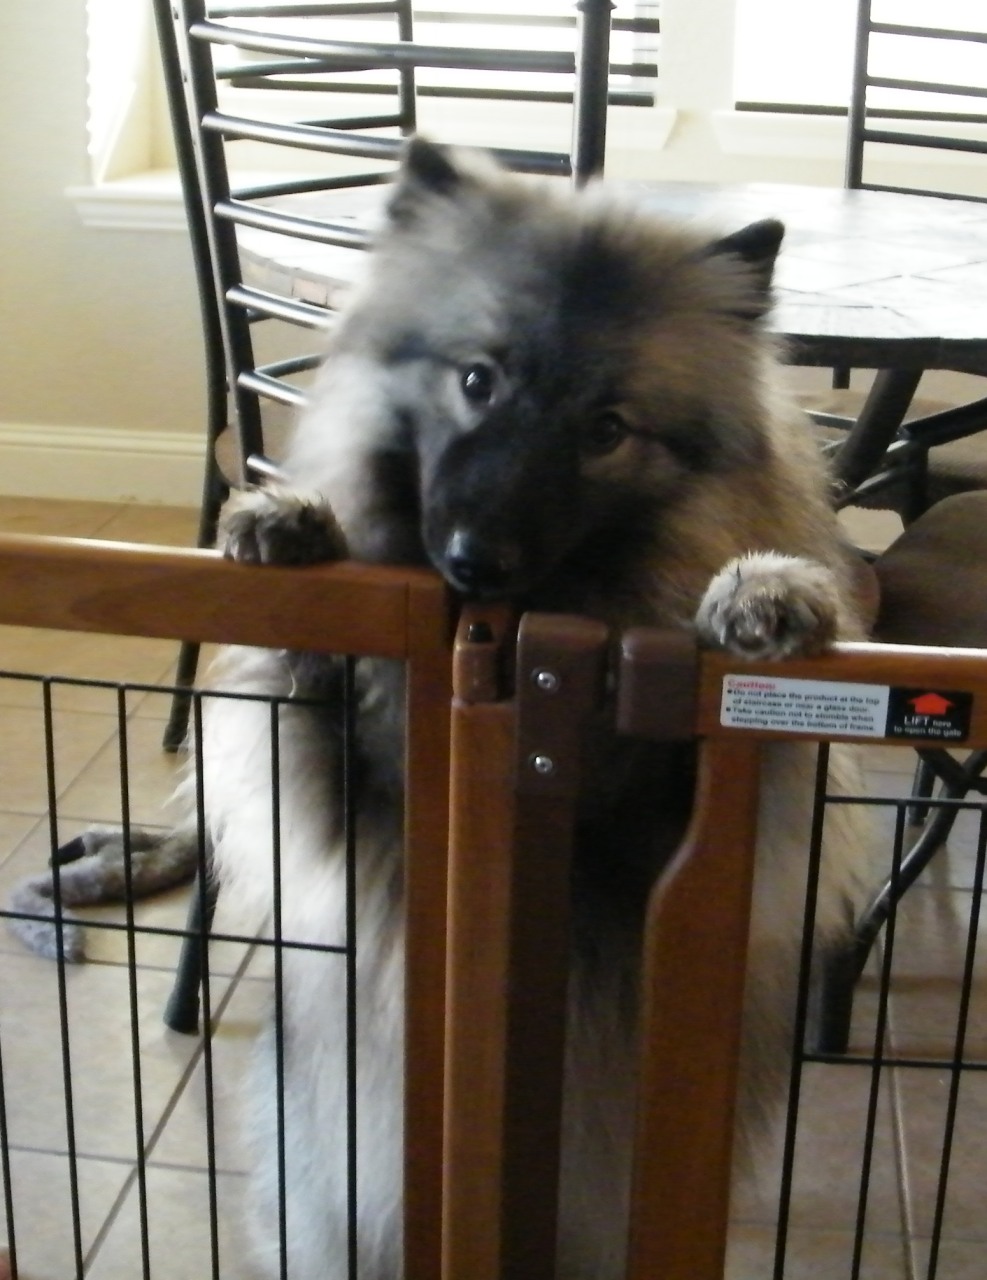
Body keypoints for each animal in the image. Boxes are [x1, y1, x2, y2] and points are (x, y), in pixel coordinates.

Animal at [106, 140, 872, 1277]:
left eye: (607, 430)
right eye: (478, 380)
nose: (476, 560)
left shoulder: (699, 824)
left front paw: (764, 589)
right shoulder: (347, 794)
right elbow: (306, 681)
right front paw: (294, 521)